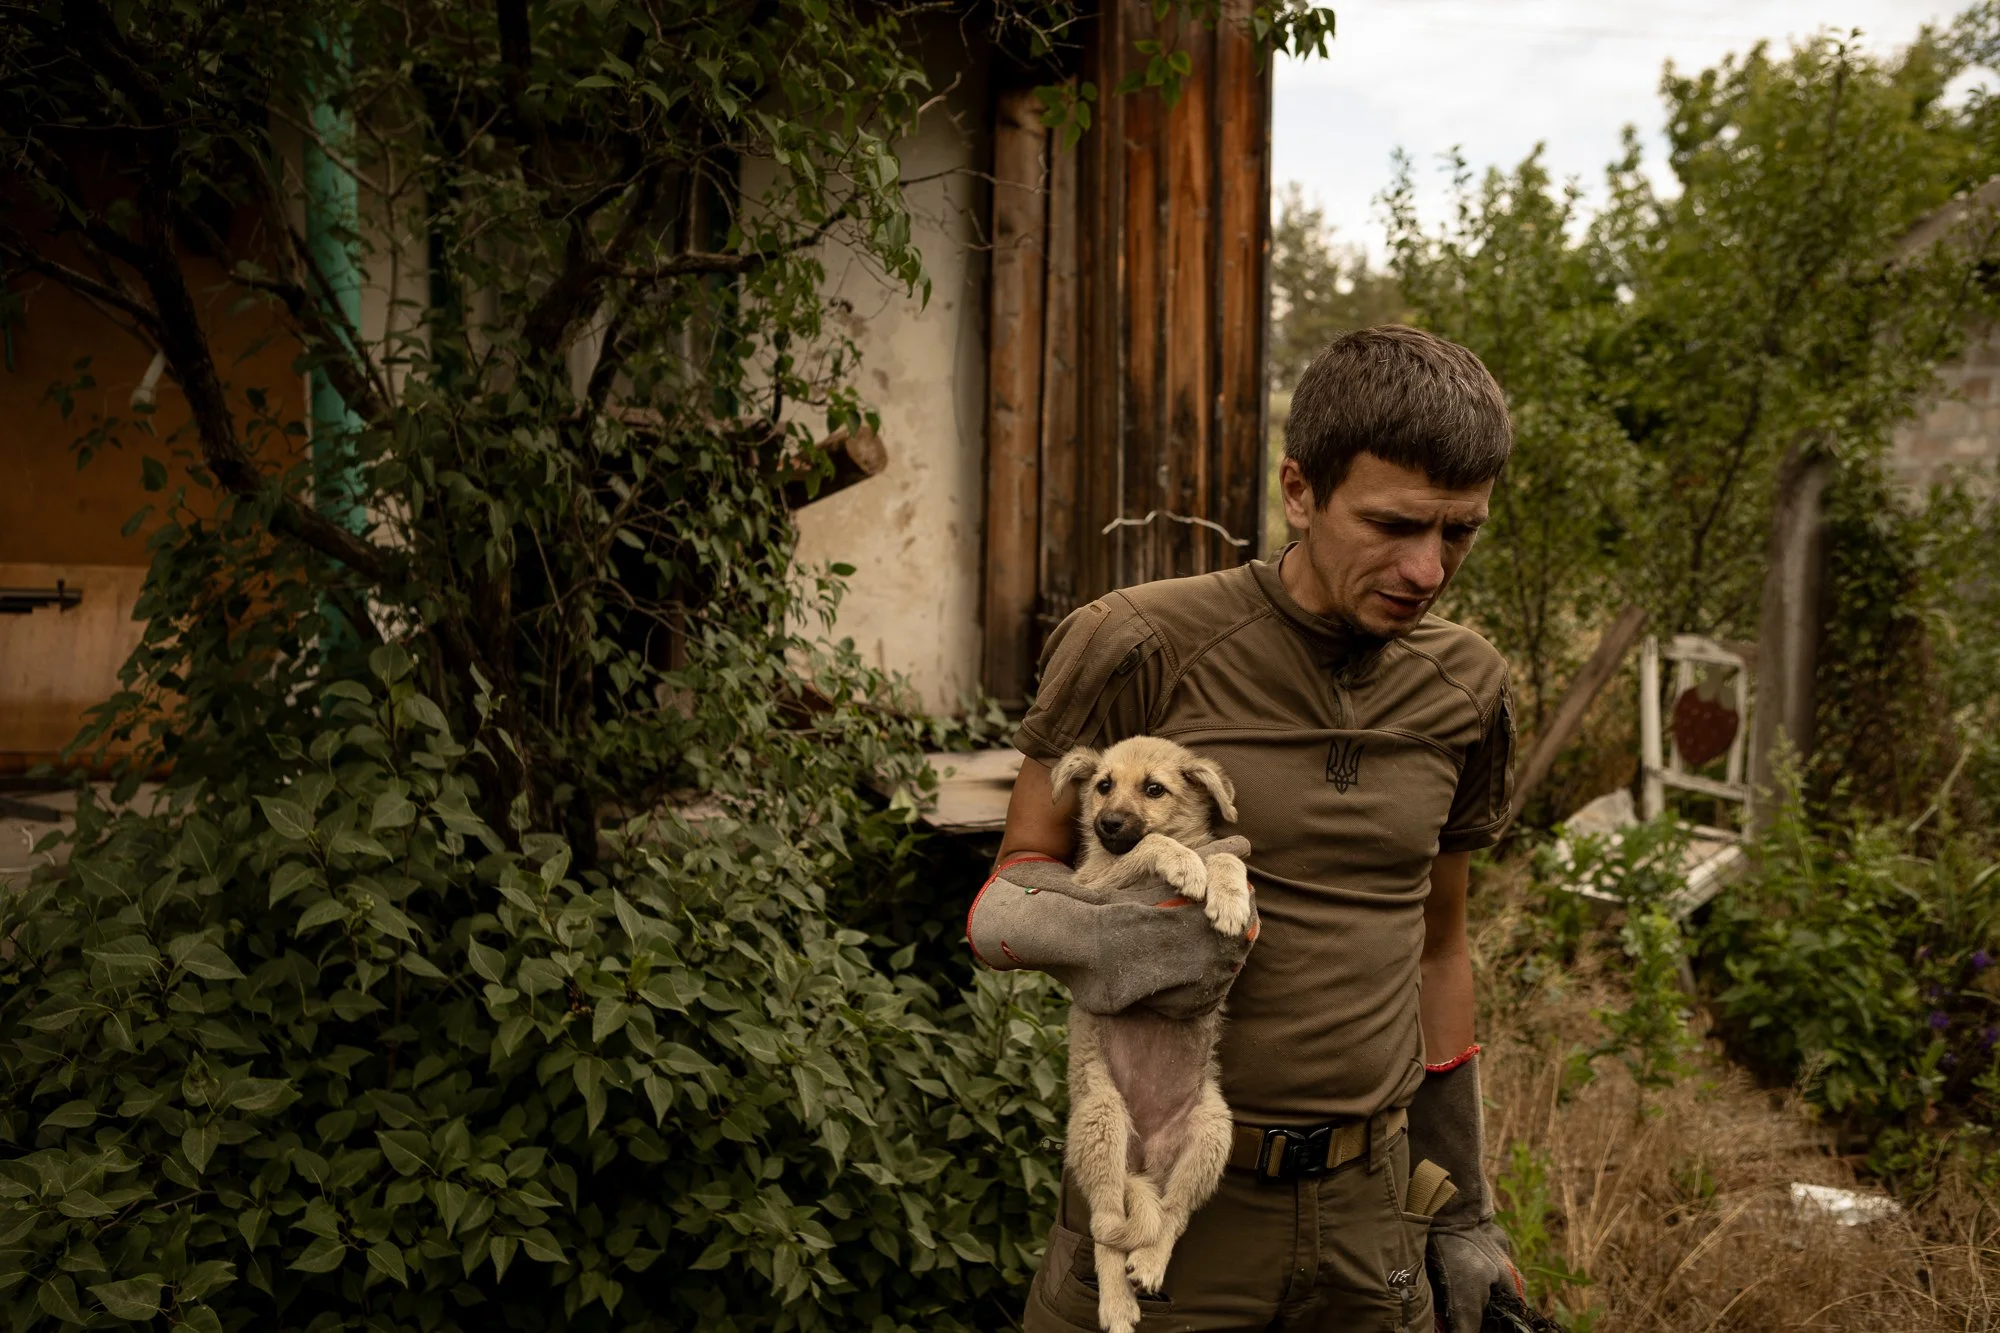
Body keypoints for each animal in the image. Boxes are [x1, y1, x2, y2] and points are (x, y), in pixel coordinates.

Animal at [1047, 735, 1253, 1333]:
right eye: (1102, 785)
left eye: (1154, 788)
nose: (1109, 824)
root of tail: (1146, 1161)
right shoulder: (1091, 885)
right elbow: (1152, 847)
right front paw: (1183, 864)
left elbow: (1226, 854)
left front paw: (1230, 898)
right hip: (1102, 1119)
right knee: (1106, 1228)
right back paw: (1117, 1305)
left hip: (1211, 1134)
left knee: (1171, 1214)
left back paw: (1152, 1262)